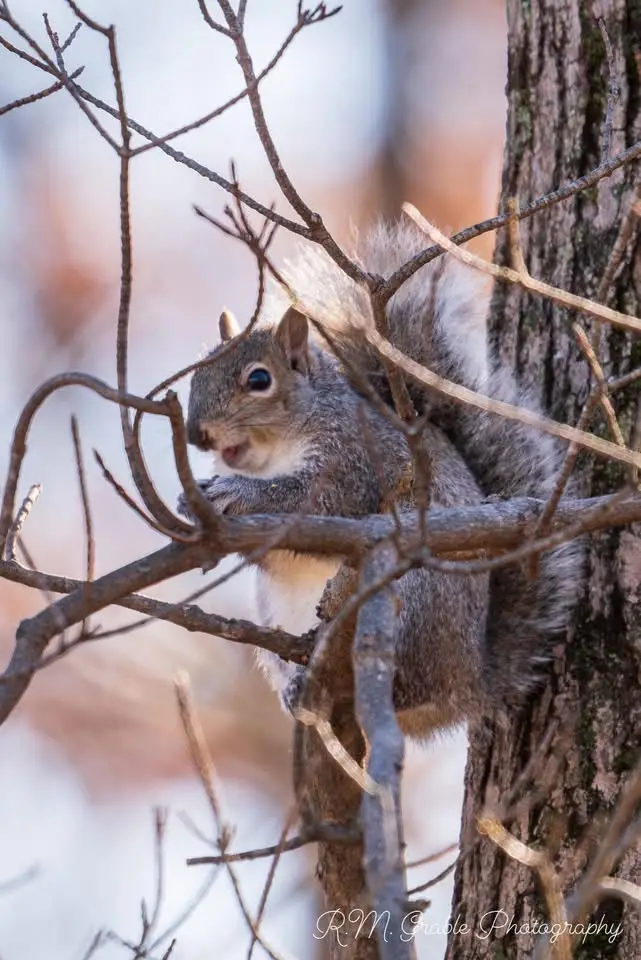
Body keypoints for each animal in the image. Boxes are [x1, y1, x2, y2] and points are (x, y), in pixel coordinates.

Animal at [179, 221, 583, 739]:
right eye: (196, 375)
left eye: (259, 380)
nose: (197, 433)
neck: (274, 452)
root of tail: (467, 685)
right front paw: (194, 505)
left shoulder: (357, 457)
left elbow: (322, 501)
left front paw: (239, 494)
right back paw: (298, 691)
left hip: (409, 596)